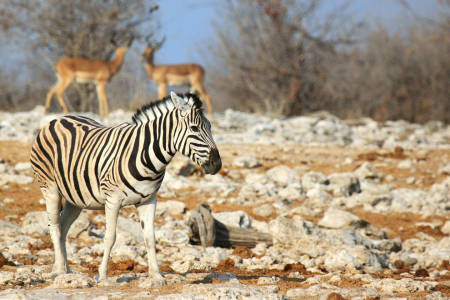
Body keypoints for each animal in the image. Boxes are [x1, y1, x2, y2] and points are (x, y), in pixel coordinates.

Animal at [29, 91, 222, 286]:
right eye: (194, 128)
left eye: (210, 127)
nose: (217, 164)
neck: (148, 159)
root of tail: (58, 119)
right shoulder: (112, 200)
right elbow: (110, 238)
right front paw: (103, 276)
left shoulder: (149, 201)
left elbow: (150, 238)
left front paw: (156, 276)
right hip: (50, 188)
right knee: (55, 227)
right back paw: (60, 270)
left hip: (75, 199)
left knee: (63, 228)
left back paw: (65, 270)